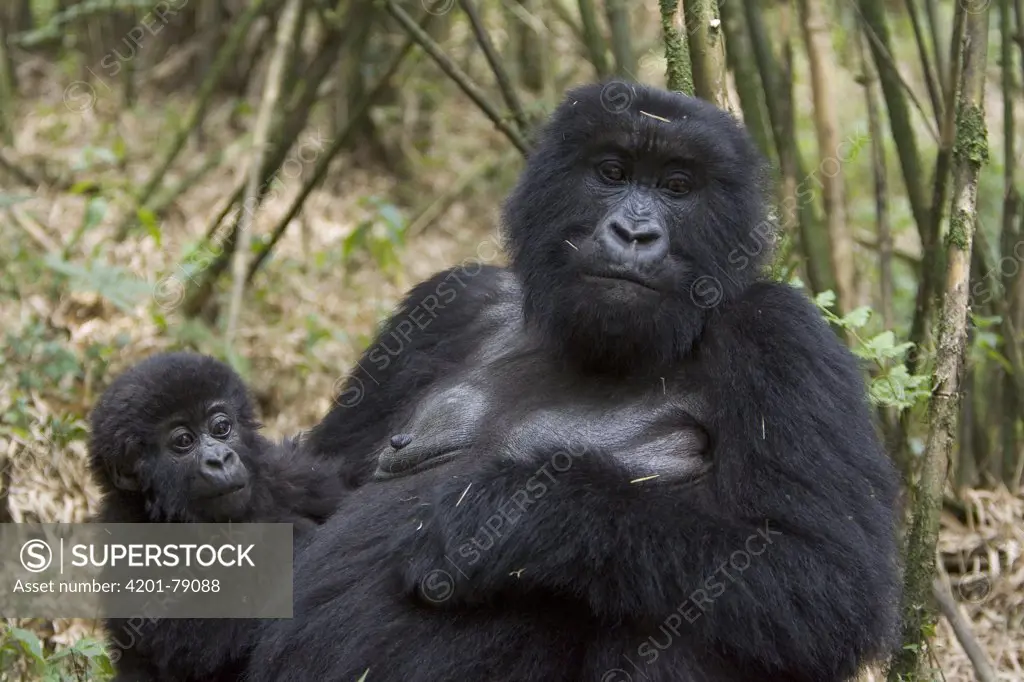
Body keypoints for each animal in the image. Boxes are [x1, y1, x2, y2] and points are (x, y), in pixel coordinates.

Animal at [89, 350, 344, 679]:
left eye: (221, 427)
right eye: (183, 441)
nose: (220, 460)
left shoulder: (289, 472)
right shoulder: (130, 541)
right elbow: (203, 639)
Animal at [251, 83, 901, 679]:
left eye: (677, 187)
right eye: (612, 173)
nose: (634, 235)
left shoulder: (783, 335)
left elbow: (824, 576)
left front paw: (511, 517)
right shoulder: (450, 303)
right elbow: (323, 483)